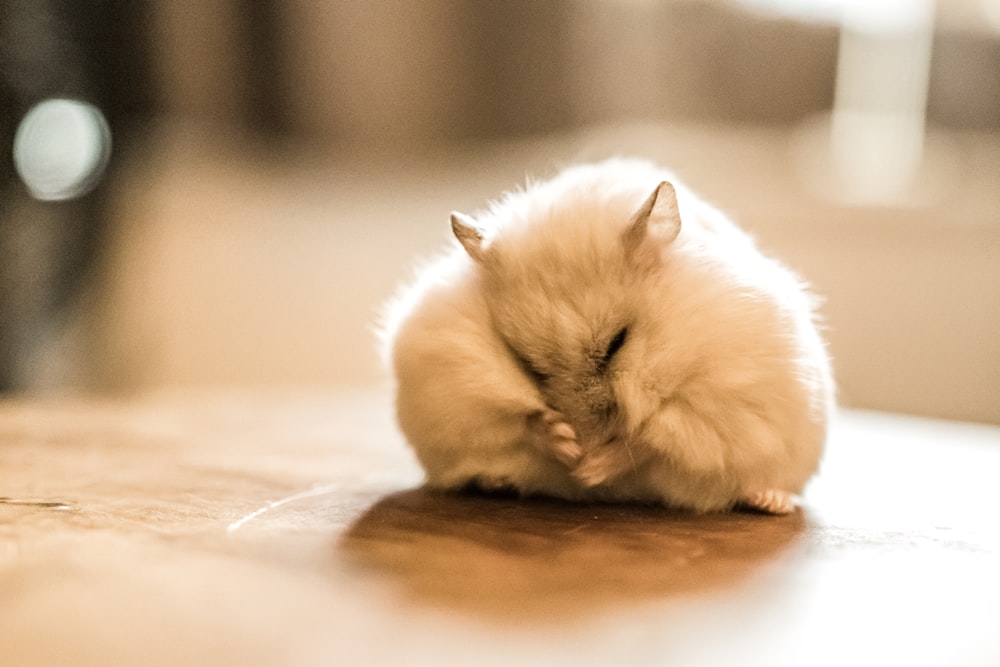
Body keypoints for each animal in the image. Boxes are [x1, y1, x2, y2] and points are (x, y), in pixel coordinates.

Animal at [378, 159, 832, 516]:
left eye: (618, 343)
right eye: (526, 365)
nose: (587, 445)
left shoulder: (719, 400)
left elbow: (652, 438)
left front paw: (592, 468)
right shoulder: (451, 386)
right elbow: (519, 420)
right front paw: (566, 446)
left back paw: (769, 501)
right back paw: (496, 482)